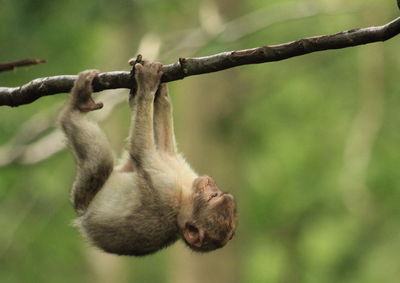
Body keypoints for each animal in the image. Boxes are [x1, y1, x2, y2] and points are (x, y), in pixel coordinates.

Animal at [59, 61, 238, 256]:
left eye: (213, 196)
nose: (210, 183)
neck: (183, 199)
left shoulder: (166, 192)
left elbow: (141, 151)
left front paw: (147, 85)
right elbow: (166, 150)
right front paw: (161, 92)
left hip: (84, 200)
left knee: (102, 164)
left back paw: (75, 108)